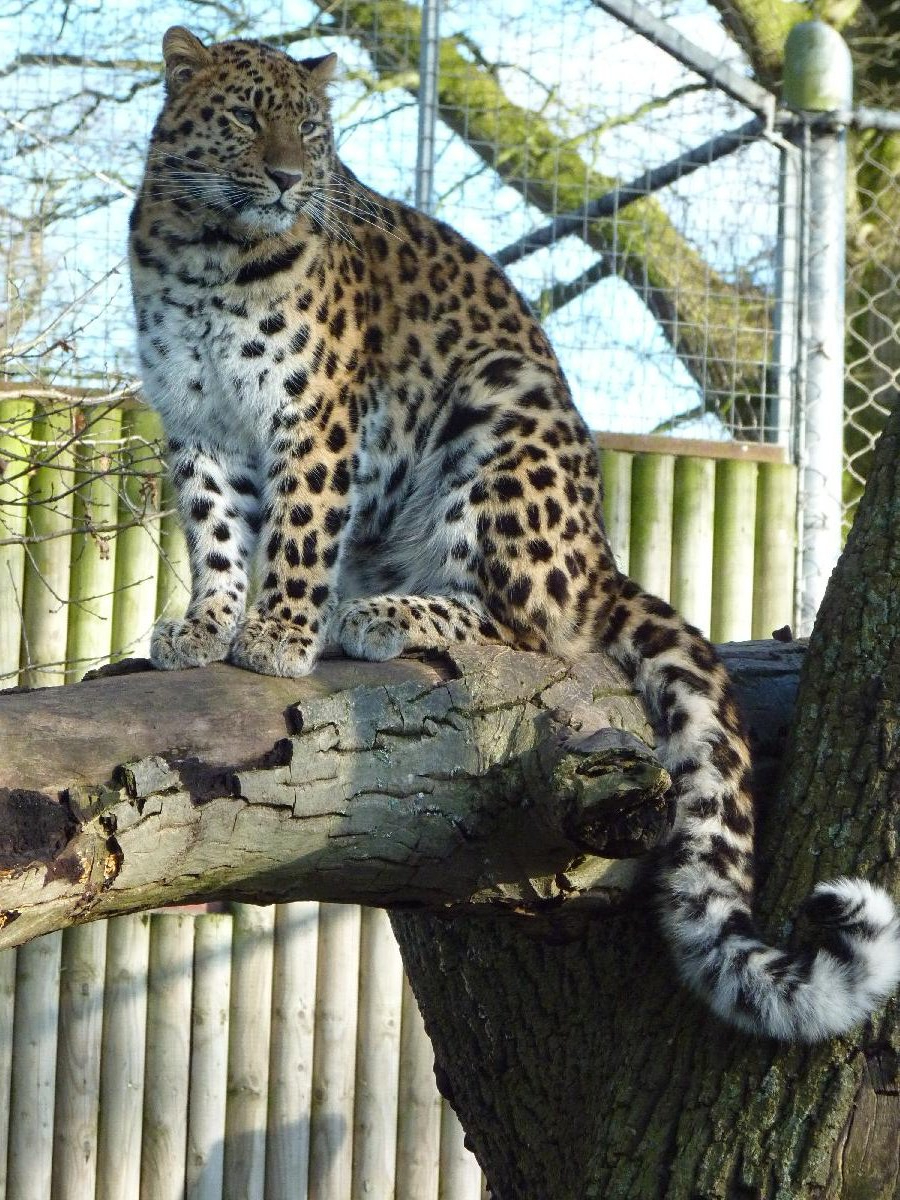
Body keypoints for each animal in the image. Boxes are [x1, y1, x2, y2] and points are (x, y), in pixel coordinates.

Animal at [129, 25, 900, 1041]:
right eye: (249, 116)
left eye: (313, 130)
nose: (292, 179)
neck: (210, 251)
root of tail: (603, 556)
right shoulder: (199, 423)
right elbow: (216, 534)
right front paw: (205, 625)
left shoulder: (319, 411)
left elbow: (299, 526)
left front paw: (279, 635)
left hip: (501, 409)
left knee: (527, 624)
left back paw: (377, 616)